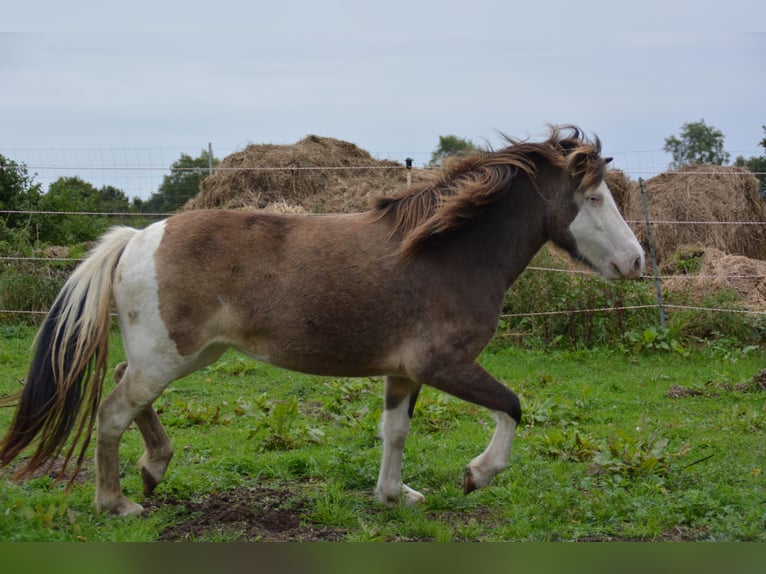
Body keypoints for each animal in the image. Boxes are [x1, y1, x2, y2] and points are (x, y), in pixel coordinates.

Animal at [0, 126, 644, 516]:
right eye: (593, 199)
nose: (635, 261)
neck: (446, 252)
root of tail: (137, 237)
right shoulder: (444, 364)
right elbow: (512, 407)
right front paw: (476, 475)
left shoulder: (404, 372)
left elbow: (395, 431)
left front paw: (394, 495)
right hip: (167, 356)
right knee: (112, 412)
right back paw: (117, 503)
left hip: (187, 354)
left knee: (125, 396)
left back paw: (154, 468)